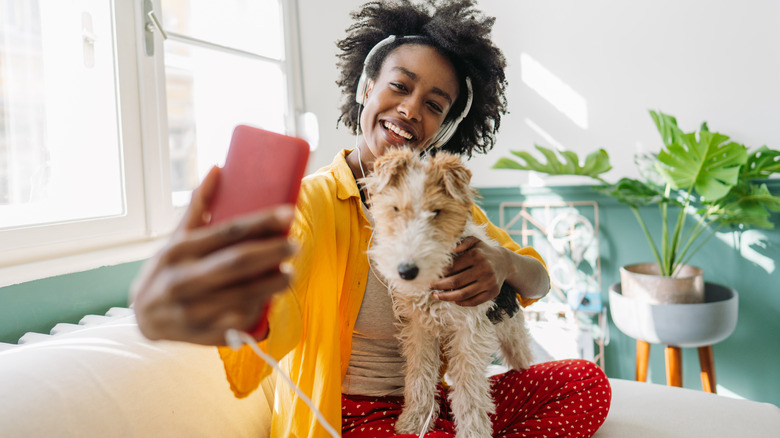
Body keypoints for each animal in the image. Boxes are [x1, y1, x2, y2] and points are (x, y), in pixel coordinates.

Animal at [362, 149, 532, 436]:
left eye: (436, 211)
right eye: (395, 209)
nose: (406, 270)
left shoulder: (469, 331)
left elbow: (469, 392)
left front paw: (473, 431)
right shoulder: (419, 329)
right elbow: (419, 376)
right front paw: (413, 421)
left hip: (513, 334)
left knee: (523, 359)